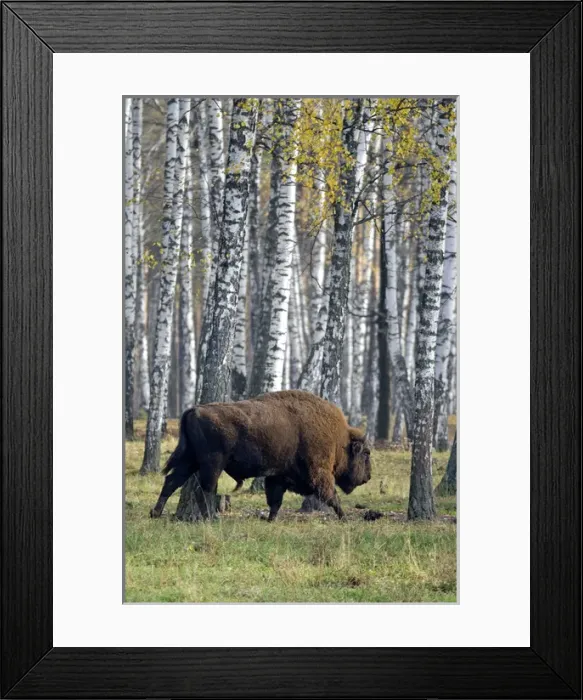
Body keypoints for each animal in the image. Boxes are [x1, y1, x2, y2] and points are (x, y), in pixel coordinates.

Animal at [150, 389, 371, 521]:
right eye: (366, 453)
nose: (368, 477)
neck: (339, 440)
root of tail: (193, 410)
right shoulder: (320, 471)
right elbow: (332, 495)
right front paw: (344, 518)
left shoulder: (278, 475)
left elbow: (275, 500)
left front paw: (270, 519)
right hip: (212, 463)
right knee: (205, 489)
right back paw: (212, 519)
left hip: (191, 460)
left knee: (172, 481)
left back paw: (155, 513)